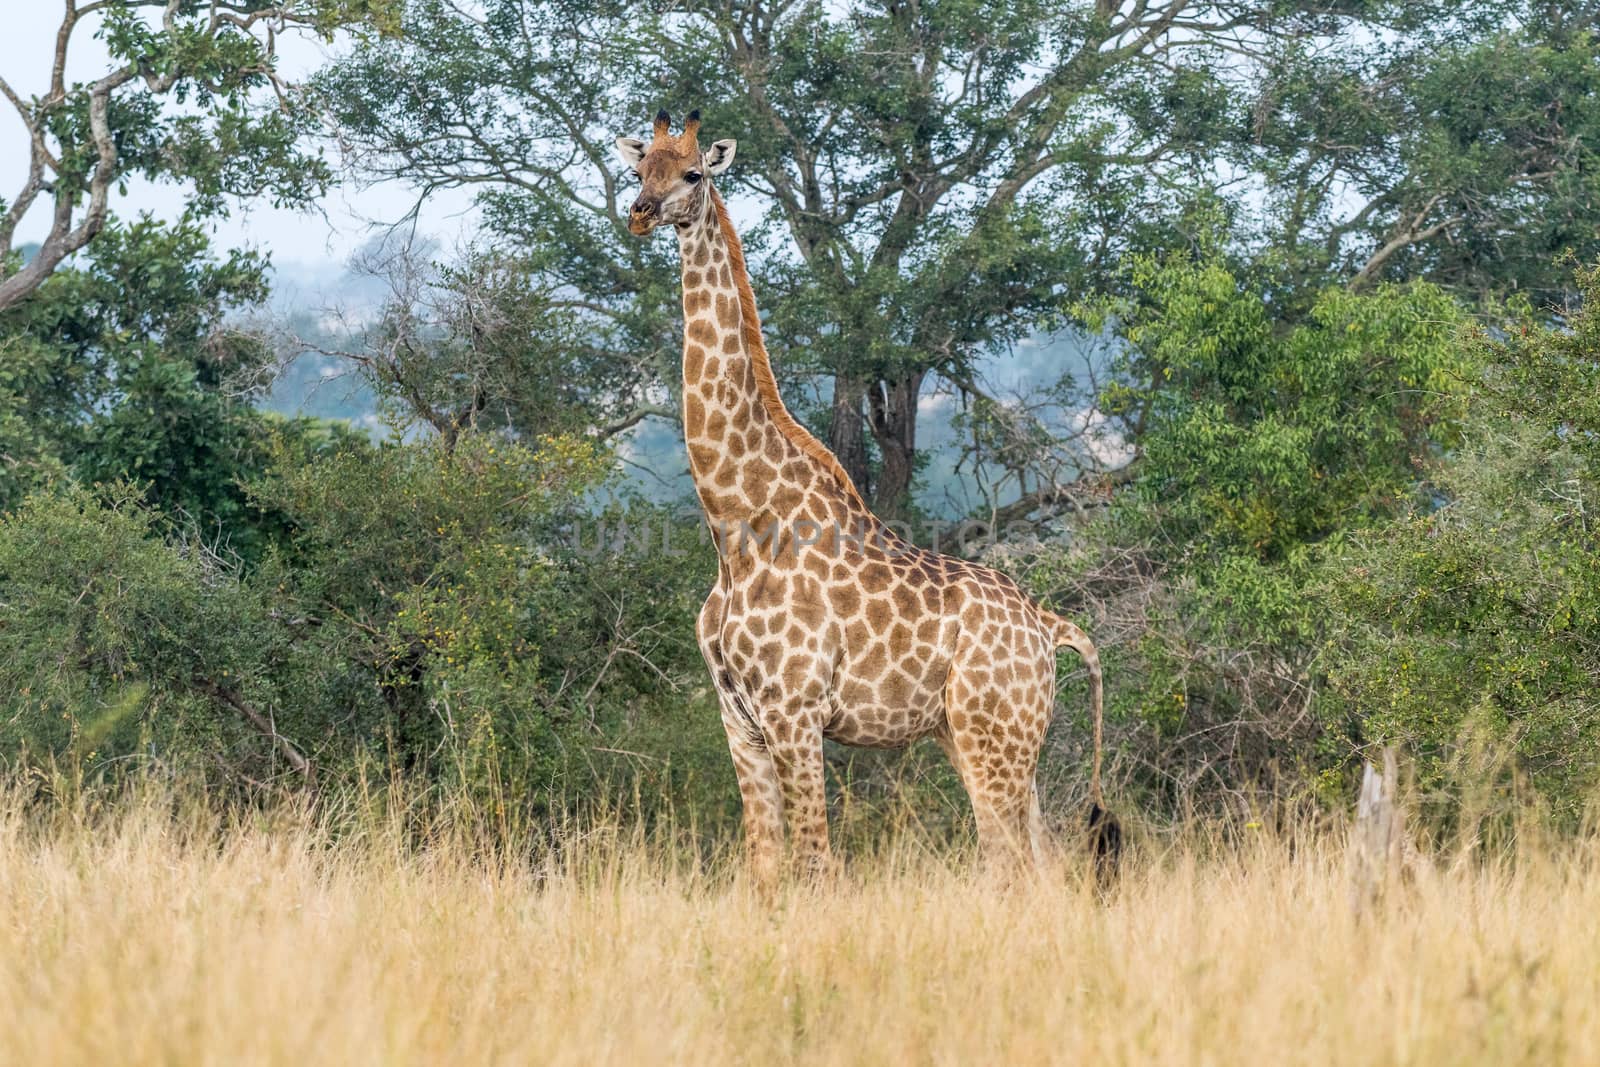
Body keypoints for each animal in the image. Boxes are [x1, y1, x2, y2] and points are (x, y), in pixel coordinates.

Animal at [617, 108, 1120, 883]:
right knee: (1040, 863)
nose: (641, 214)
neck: (736, 527)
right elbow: (765, 870)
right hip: (984, 740)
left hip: (992, 738)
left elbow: (815, 866)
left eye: (694, 173)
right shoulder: (739, 722)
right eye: (639, 169)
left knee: (1010, 861)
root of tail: (1049, 626)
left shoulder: (795, 715)